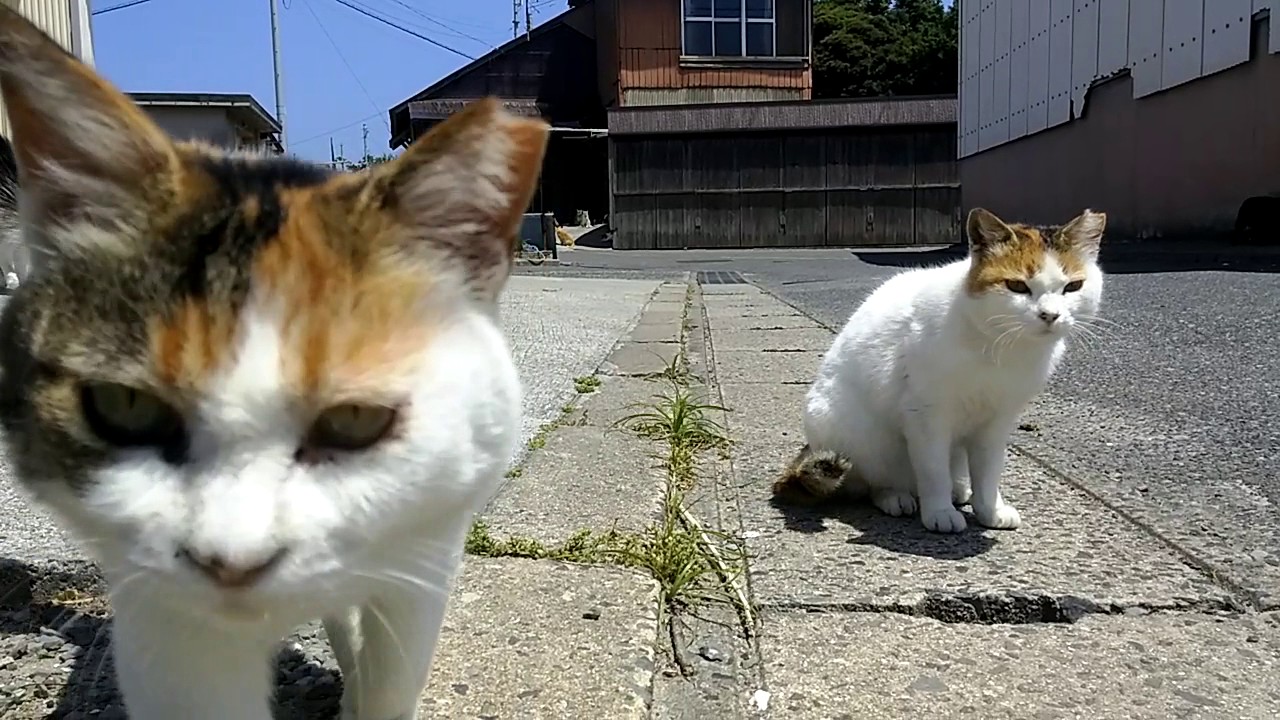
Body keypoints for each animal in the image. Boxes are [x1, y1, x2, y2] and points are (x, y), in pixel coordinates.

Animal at [0, 7, 545, 717]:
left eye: (356, 420)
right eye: (125, 406)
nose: (231, 563)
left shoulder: (427, 551)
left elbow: (391, 673)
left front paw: (365, 693)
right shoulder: (169, 625)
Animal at [773, 204, 1105, 530]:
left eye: (1073, 286)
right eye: (1017, 286)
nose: (1050, 315)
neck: (999, 347)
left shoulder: (996, 422)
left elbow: (989, 471)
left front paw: (990, 509)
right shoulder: (926, 416)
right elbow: (933, 471)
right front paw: (940, 511)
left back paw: (959, 490)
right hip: (854, 431)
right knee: (870, 481)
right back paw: (897, 496)